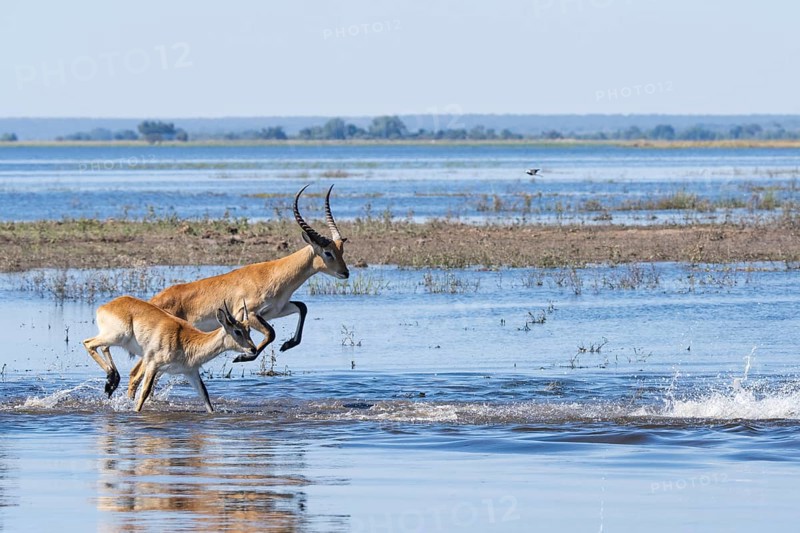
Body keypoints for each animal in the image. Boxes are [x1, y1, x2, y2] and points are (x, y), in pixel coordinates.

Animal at [83, 296, 258, 412]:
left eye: (248, 330)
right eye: (237, 331)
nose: (253, 349)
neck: (186, 342)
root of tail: (105, 306)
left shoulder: (191, 372)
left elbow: (205, 396)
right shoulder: (153, 364)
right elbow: (144, 393)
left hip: (115, 339)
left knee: (103, 347)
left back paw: (112, 382)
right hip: (118, 336)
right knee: (88, 343)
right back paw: (111, 381)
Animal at [126, 184, 349, 397]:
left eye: (341, 250)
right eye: (327, 252)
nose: (345, 273)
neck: (273, 274)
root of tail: (151, 302)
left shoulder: (277, 310)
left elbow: (302, 307)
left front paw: (287, 344)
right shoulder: (249, 313)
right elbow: (271, 333)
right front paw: (243, 357)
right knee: (136, 374)